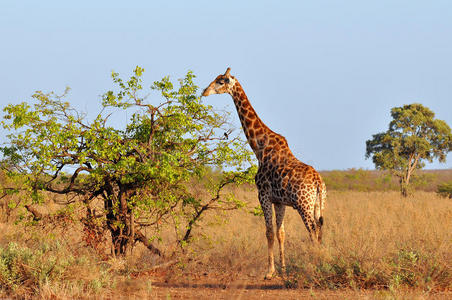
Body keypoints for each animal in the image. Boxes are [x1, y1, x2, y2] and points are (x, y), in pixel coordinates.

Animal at [203, 68, 326, 278]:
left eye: (220, 81)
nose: (204, 91)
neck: (260, 148)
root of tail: (318, 181)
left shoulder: (263, 195)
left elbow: (268, 232)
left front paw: (270, 271)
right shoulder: (279, 201)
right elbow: (281, 233)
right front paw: (283, 269)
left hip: (304, 204)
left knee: (312, 230)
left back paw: (314, 265)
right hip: (319, 204)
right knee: (319, 229)